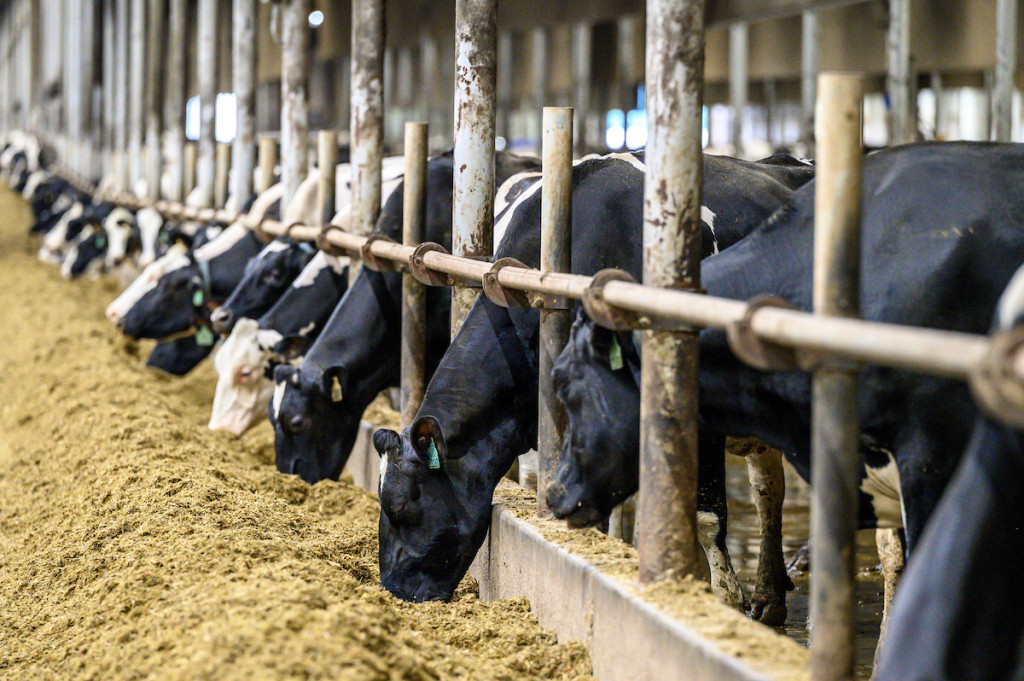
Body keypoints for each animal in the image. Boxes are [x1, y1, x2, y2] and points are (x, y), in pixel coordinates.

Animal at [370, 148, 815, 602]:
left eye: (400, 506)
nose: (392, 589)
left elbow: (708, 518)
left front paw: (725, 599)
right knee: (767, 488)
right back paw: (770, 596)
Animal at [540, 140, 1024, 630]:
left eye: (568, 386)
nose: (554, 495)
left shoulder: (928, 459)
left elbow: (708, 514)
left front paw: (725, 601)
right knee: (768, 490)